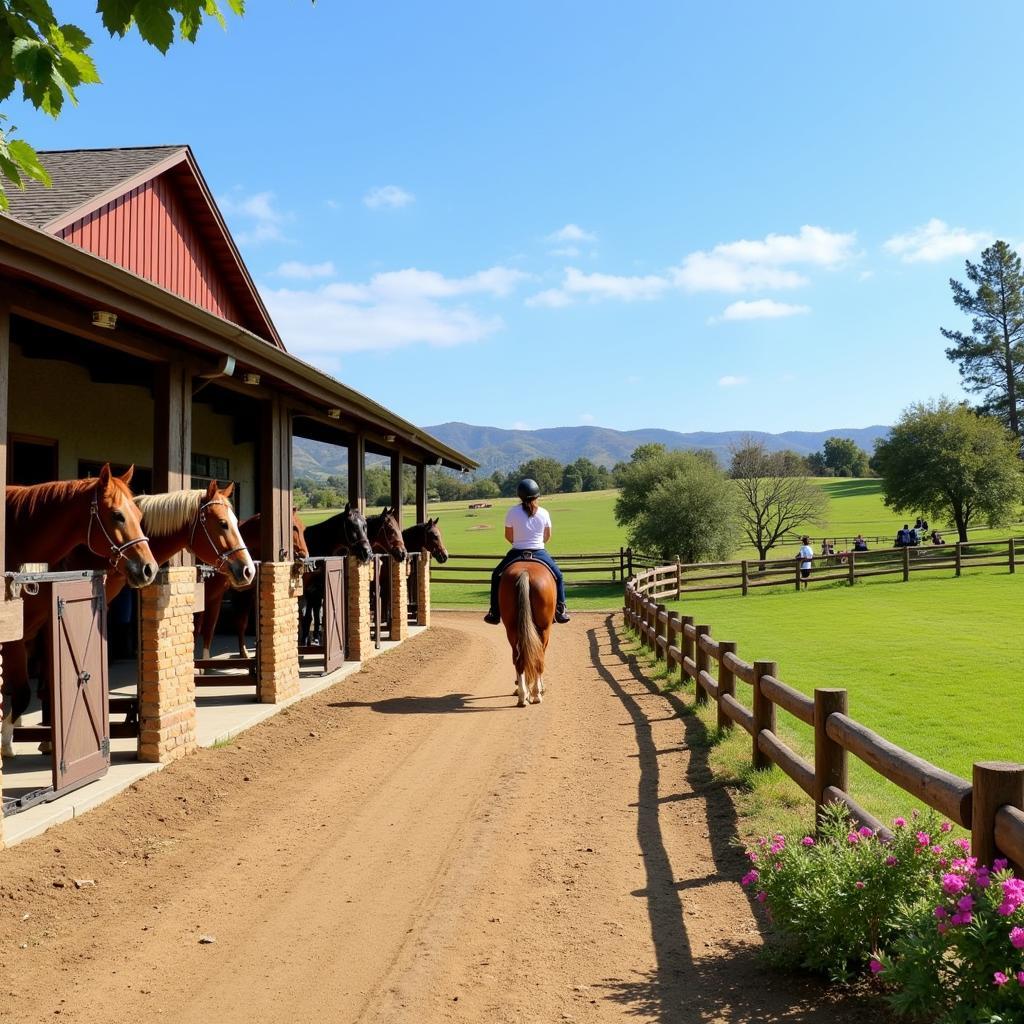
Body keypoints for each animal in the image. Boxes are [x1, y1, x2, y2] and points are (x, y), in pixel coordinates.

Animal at [2, 468, 157, 757]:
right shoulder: (14, 636)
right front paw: (6, 744)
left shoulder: (36, 629)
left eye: (139, 516)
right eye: (117, 515)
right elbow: (21, 693)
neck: (17, 539)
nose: (148, 568)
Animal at [197, 509, 309, 659]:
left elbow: (244, 622)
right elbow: (206, 628)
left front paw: (247, 652)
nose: (305, 555)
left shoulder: (245, 592)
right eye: (294, 527)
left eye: (303, 529)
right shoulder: (213, 595)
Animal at [499, 561, 557, 704]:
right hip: (544, 630)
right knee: (538, 659)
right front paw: (540, 688)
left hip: (512, 630)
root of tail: (525, 572)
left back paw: (522, 695)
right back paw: (536, 694)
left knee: (518, 659)